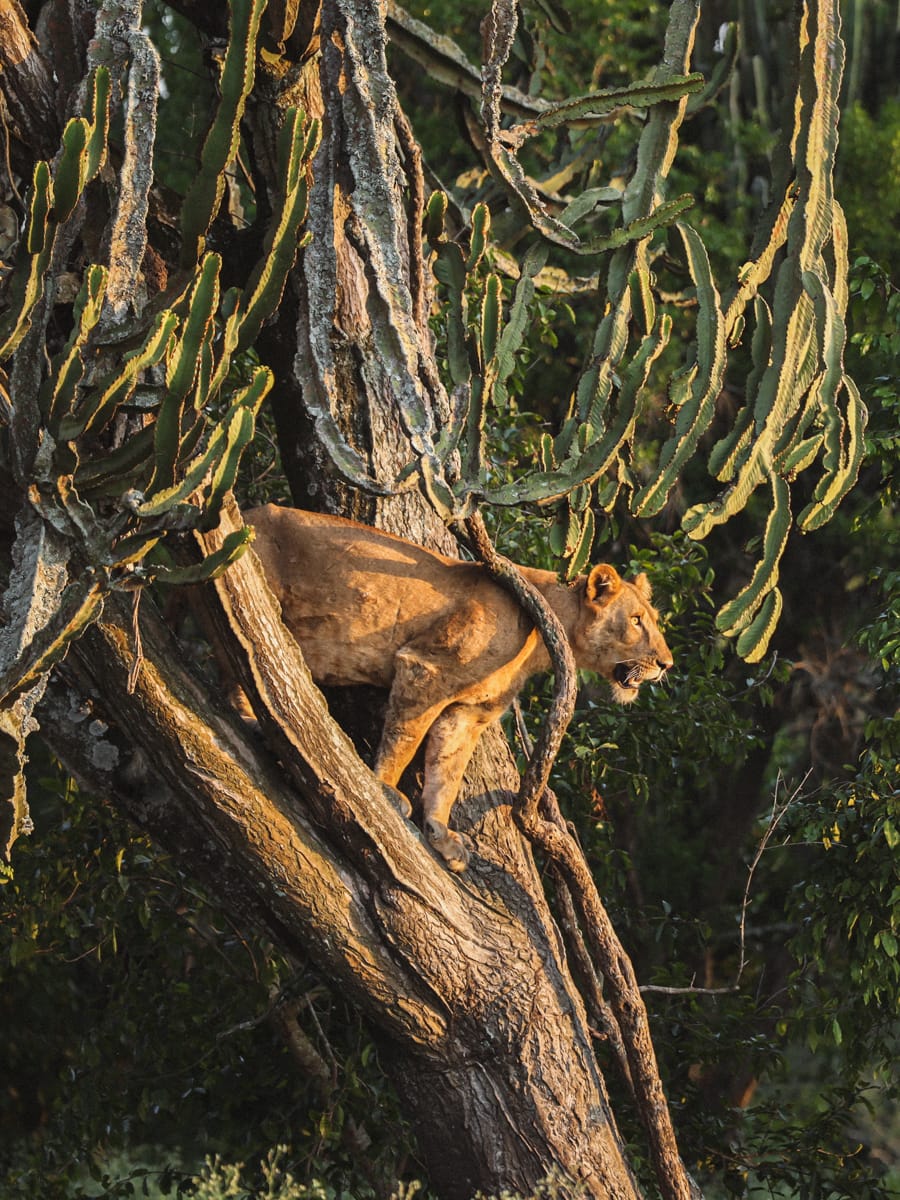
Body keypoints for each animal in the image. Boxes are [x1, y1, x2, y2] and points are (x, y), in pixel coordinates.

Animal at [245, 505, 673, 871]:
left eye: (652, 618)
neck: (545, 634)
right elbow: (405, 741)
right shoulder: (427, 667)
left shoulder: (467, 713)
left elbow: (446, 773)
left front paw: (441, 834)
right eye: (636, 620)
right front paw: (384, 790)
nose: (666, 664)